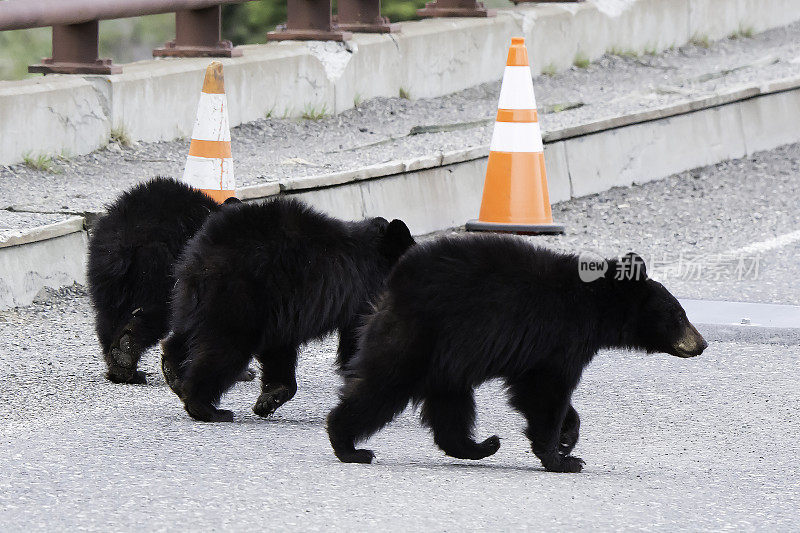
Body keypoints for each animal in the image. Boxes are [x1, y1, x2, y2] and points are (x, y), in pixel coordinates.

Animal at [87, 178, 242, 382]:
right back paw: (127, 354)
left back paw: (121, 367)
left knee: (107, 318)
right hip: (158, 269)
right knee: (154, 313)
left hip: (105, 276)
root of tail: (125, 237)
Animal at [160, 197, 416, 422]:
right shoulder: (361, 297)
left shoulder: (283, 310)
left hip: (192, 295)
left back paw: (173, 373)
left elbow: (279, 351)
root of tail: (210, 245)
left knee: (186, 334)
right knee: (224, 347)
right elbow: (358, 340)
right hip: (239, 295)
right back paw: (207, 408)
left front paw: (269, 399)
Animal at [324, 235, 708, 472]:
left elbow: (538, 392)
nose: (702, 343)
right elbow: (547, 393)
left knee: (450, 406)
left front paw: (568, 438)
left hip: (446, 360)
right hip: (418, 338)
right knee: (382, 387)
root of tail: (391, 287)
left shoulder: (539, 352)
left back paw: (481, 445)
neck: (595, 304)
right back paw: (349, 446)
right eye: (679, 315)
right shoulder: (560, 337)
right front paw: (562, 459)